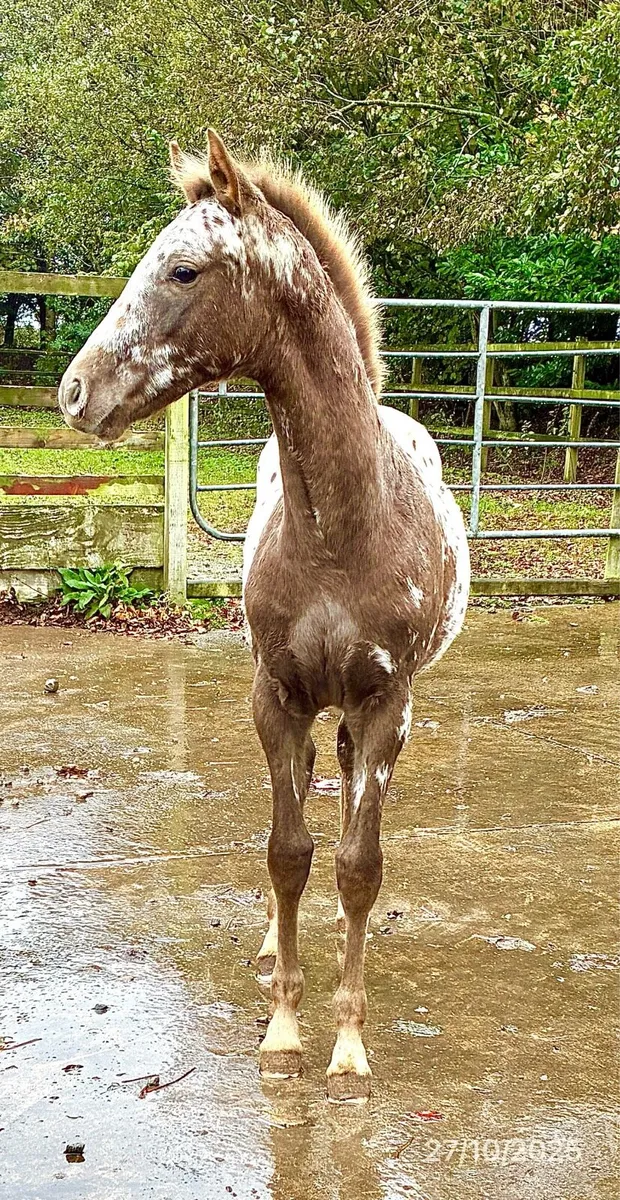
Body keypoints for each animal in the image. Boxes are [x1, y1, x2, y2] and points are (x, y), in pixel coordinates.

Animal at [59, 129, 470, 1102]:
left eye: (183, 269)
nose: (75, 391)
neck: (344, 529)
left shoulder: (388, 707)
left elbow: (358, 866)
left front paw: (348, 1047)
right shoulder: (274, 696)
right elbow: (287, 853)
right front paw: (284, 1031)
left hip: (361, 717)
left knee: (347, 802)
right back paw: (271, 948)